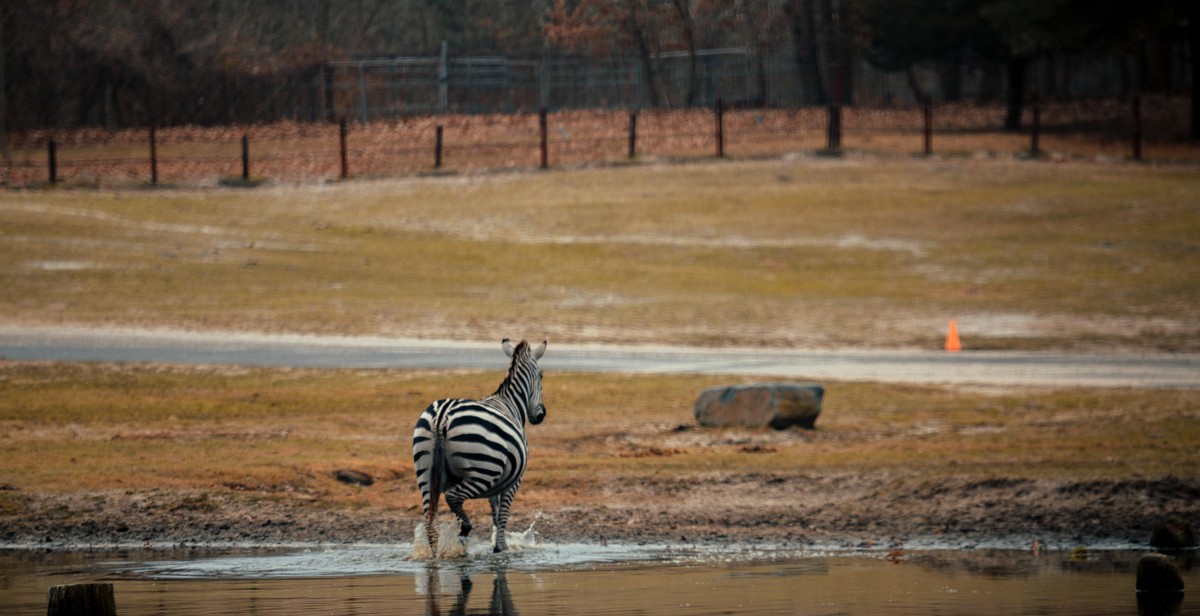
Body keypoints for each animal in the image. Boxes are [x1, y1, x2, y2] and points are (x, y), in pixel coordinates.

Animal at [410, 338, 547, 554]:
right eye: (541, 375)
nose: (541, 415)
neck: (511, 402)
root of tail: (442, 416)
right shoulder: (513, 481)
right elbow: (503, 514)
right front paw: (501, 547)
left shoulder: (498, 482)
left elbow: (495, 512)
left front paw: (499, 544)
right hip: (484, 471)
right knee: (453, 497)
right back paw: (464, 530)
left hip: (425, 472)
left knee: (430, 523)